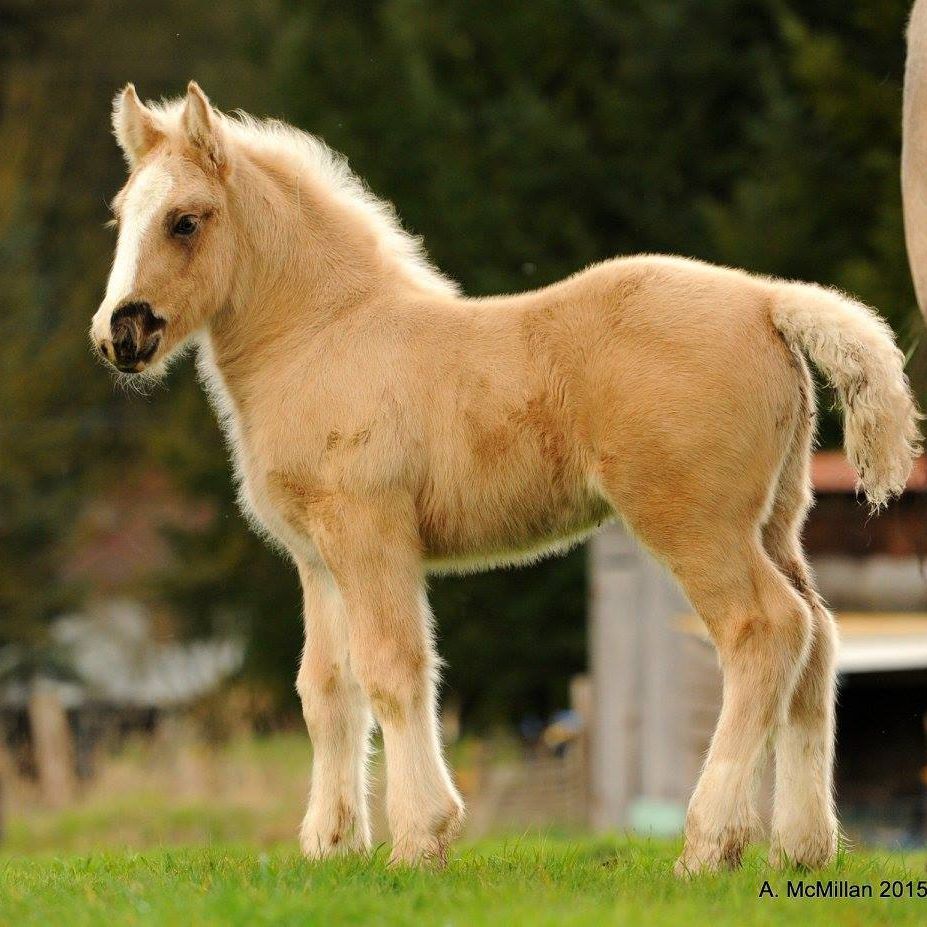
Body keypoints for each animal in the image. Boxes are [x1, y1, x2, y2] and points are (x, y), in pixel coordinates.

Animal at [90, 83, 916, 872]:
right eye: (121, 215)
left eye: (186, 220)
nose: (120, 334)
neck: (322, 336)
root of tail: (767, 299)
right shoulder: (316, 557)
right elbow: (326, 687)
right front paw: (331, 844)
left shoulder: (370, 534)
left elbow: (392, 668)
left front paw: (418, 839)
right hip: (774, 521)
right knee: (818, 641)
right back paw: (800, 847)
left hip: (694, 523)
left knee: (766, 629)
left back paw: (708, 844)